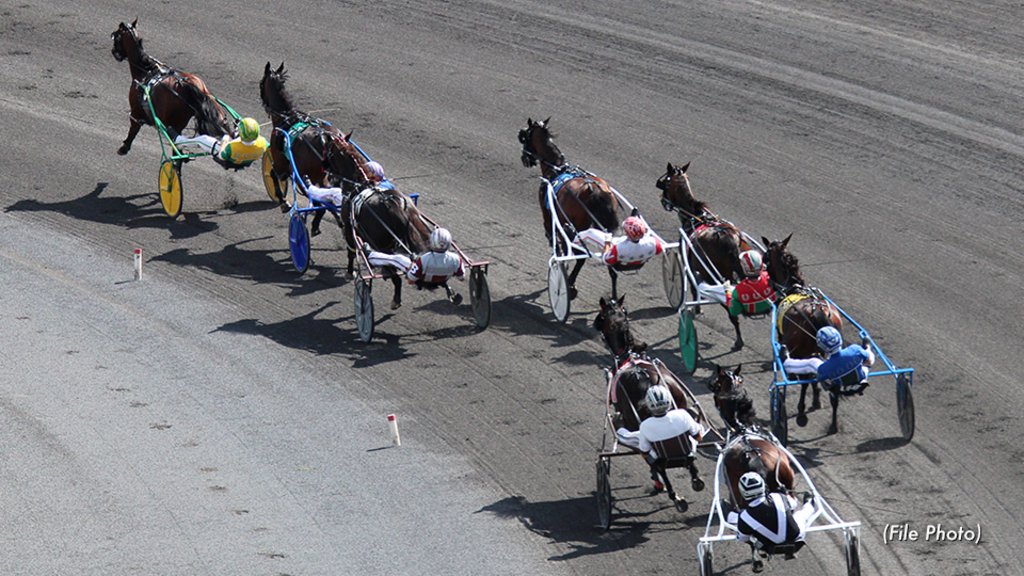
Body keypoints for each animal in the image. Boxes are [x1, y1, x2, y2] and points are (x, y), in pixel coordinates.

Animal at [111, 20, 233, 155]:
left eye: (115, 36)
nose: (114, 52)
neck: (146, 71)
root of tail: (186, 85)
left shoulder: (136, 112)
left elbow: (133, 129)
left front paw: (124, 147)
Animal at [520, 119, 622, 301]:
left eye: (525, 137)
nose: (524, 158)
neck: (556, 168)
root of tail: (594, 189)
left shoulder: (550, 217)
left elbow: (557, 243)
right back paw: (614, 296)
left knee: (580, 257)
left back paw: (571, 284)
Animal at [593, 295, 704, 494]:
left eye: (600, 316)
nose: (594, 324)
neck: (628, 357)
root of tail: (648, 380)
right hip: (680, 403)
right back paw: (695, 477)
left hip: (634, 421)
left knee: (653, 461)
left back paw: (665, 485)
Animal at [655, 162, 753, 350]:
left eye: (665, 181)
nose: (662, 199)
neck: (696, 218)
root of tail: (730, 240)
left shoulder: (690, 263)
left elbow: (693, 288)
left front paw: (696, 309)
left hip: (717, 277)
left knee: (730, 307)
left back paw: (738, 339)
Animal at [765, 233, 843, 430]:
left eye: (766, 257)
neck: (793, 288)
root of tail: (817, 310)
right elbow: (816, 374)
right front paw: (817, 400)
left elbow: (807, 377)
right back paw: (834, 423)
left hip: (801, 350)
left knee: (805, 380)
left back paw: (801, 413)